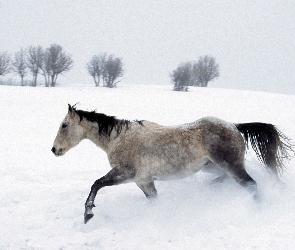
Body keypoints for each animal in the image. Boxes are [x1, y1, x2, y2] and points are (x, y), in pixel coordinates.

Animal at [51, 103, 294, 223]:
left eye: (64, 125)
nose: (54, 150)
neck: (119, 138)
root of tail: (234, 126)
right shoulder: (143, 181)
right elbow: (153, 200)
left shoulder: (126, 173)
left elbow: (96, 184)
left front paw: (87, 214)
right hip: (213, 166)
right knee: (228, 179)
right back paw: (210, 189)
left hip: (230, 165)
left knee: (251, 185)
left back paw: (259, 211)